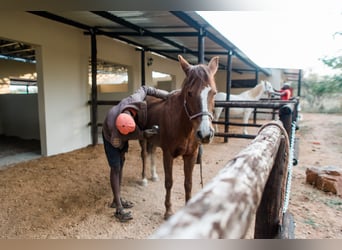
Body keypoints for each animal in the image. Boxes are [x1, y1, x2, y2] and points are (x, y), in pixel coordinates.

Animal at [140, 55, 218, 219]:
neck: (183, 126)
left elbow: (188, 183)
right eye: (189, 93)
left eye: (213, 92)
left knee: (151, 152)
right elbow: (169, 182)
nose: (205, 133)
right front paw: (168, 211)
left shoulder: (191, 155)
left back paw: (154, 175)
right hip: (142, 138)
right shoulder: (168, 154)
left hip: (153, 140)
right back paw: (143, 179)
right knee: (144, 155)